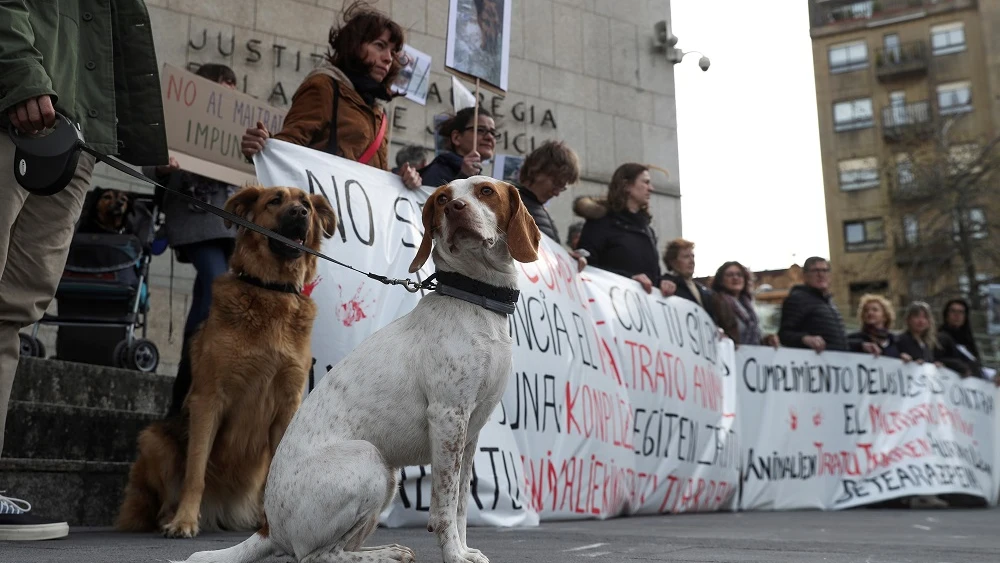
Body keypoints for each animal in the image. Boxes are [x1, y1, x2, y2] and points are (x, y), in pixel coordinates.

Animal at [115, 185, 338, 536]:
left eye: (306, 203)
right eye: (275, 200)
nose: (301, 213)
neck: (272, 290)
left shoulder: (286, 407)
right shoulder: (208, 400)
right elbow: (195, 471)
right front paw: (184, 521)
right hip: (154, 440)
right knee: (162, 497)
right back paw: (171, 516)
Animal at [176, 178, 544, 563]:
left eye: (486, 191)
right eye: (442, 198)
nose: (454, 208)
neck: (474, 300)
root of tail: (268, 528)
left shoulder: (471, 431)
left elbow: (460, 504)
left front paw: (464, 549)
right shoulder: (447, 416)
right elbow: (443, 505)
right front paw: (454, 555)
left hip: (388, 477)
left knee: (338, 548)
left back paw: (387, 550)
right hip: (370, 461)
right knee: (316, 555)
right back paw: (386, 555)